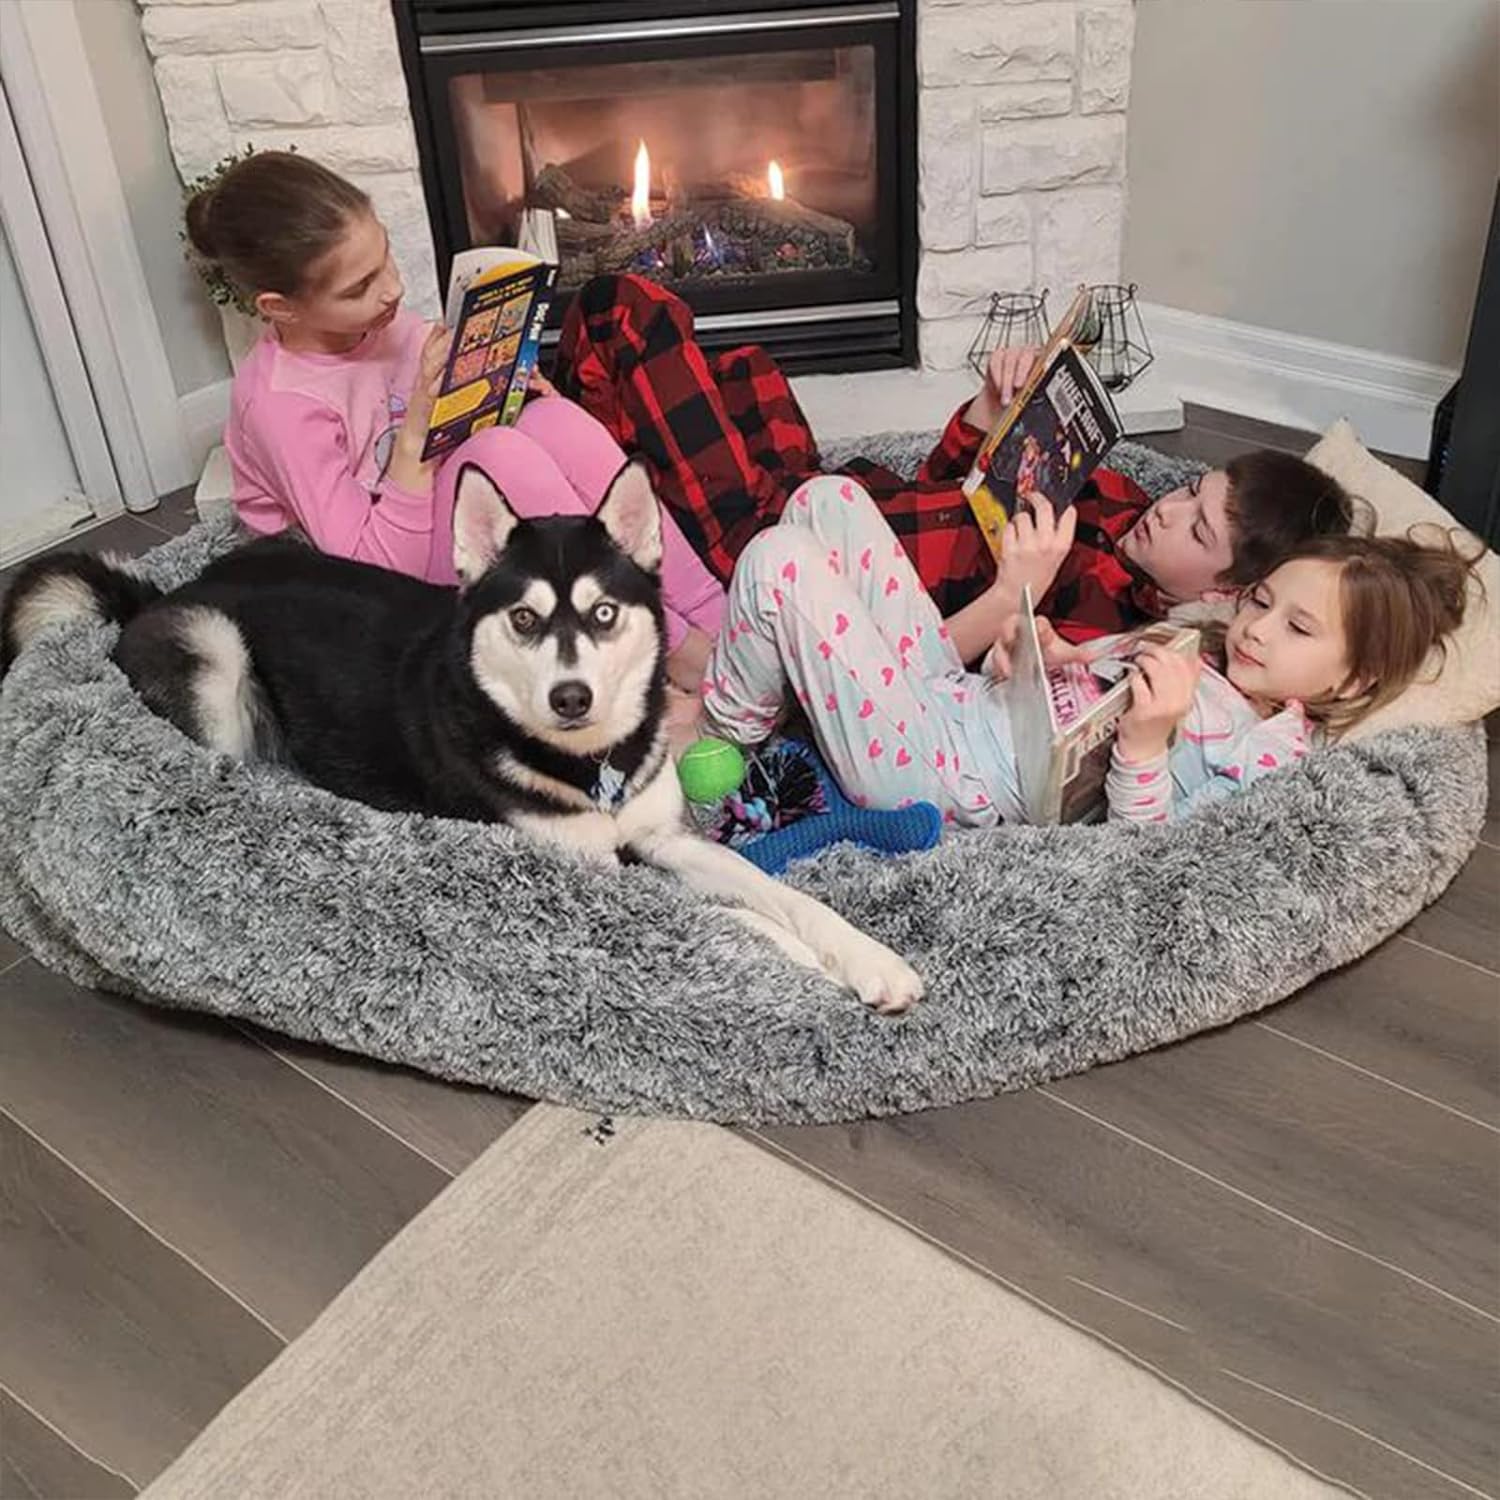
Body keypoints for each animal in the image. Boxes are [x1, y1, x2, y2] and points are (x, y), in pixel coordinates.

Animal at [0, 462, 918, 1014]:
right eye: (524, 620)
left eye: (603, 614)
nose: (572, 696)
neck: (589, 766)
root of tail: (160, 590)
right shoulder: (590, 876)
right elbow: (734, 920)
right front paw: (801, 961)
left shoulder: (662, 834)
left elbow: (781, 895)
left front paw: (868, 957)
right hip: (218, 651)